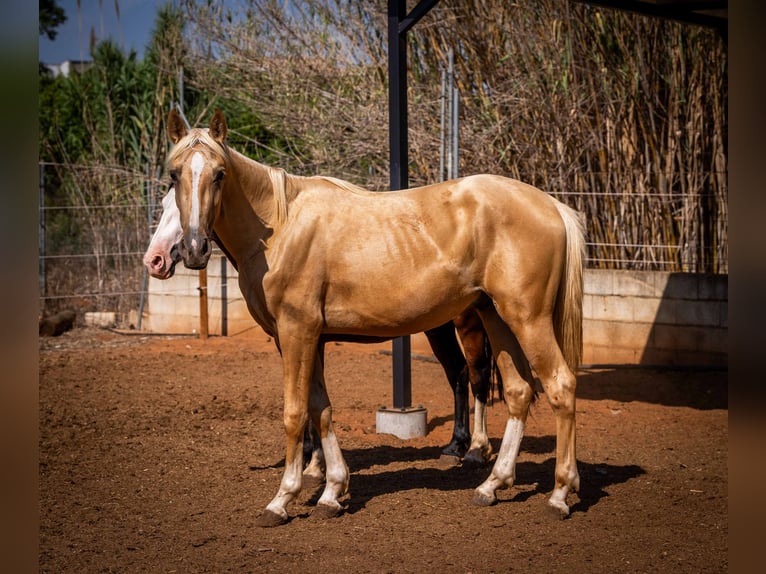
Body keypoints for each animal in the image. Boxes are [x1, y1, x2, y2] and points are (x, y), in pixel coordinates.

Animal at [165, 110, 584, 528]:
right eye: (173, 174)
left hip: (526, 319)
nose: (193, 248)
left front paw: (283, 498)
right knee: (518, 391)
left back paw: (559, 494)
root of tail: (552, 206)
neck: (280, 229)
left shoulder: (296, 331)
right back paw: (491, 485)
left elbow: (295, 412)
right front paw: (333, 491)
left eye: (219, 173)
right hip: (495, 317)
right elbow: (321, 409)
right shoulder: (310, 338)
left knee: (559, 386)